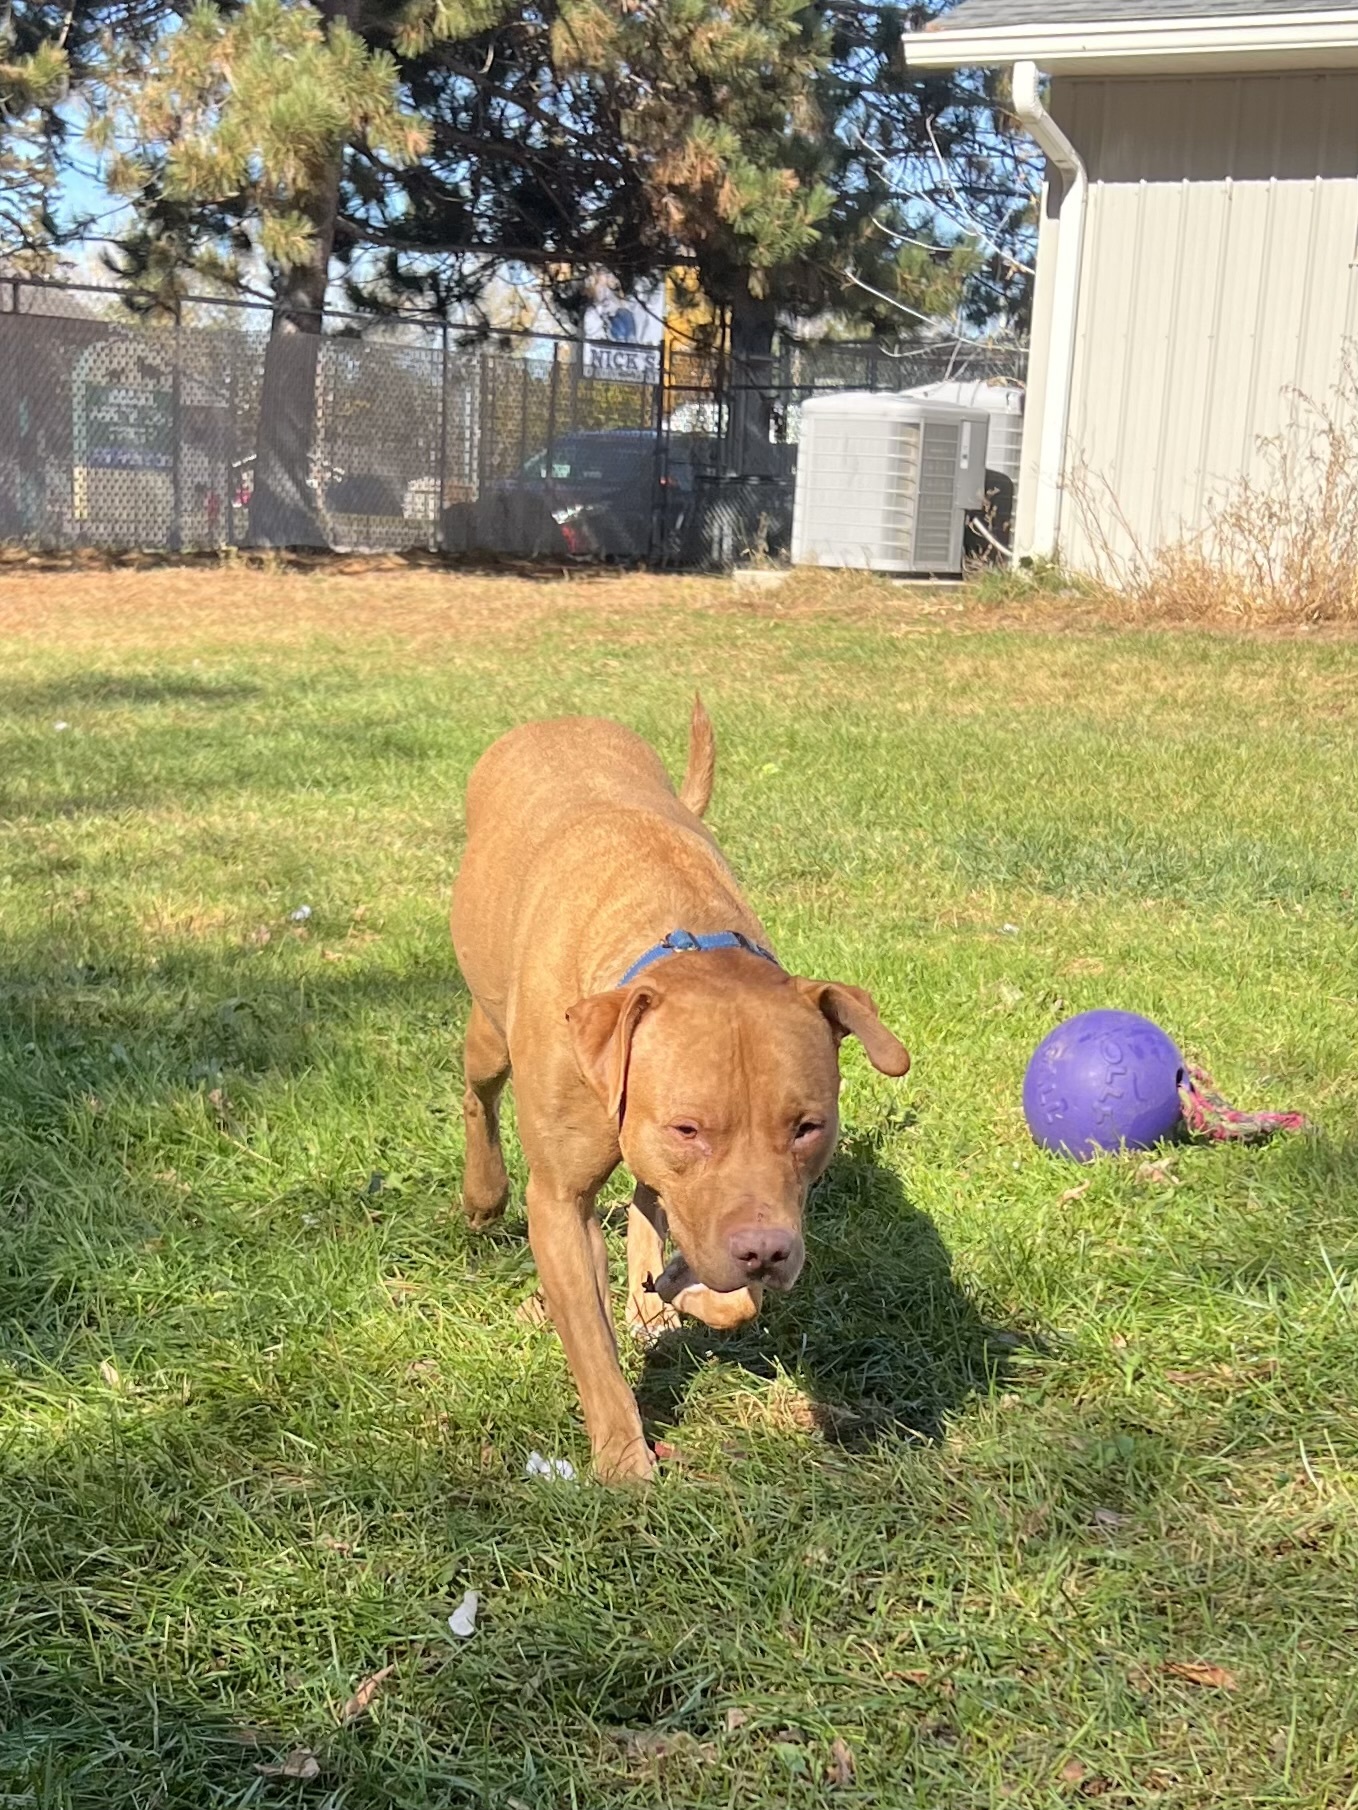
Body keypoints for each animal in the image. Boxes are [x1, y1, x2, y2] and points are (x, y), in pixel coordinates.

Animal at [452, 698, 908, 1476]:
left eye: (807, 1127)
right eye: (688, 1128)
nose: (765, 1253)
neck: (675, 932)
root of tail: (558, 720)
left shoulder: (728, 1203)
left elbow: (726, 1290)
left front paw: (666, 1292)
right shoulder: (562, 1202)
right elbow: (592, 1346)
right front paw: (623, 1462)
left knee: (646, 1203)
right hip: (489, 1032)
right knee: (476, 1092)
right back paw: (484, 1198)